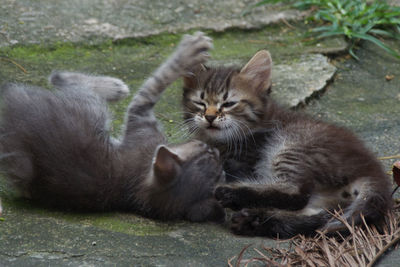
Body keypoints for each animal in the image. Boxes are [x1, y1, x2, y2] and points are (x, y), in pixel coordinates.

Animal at [0, 32, 225, 223]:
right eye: (203, 147)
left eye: (211, 154)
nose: (216, 150)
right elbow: (160, 79)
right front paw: (191, 52)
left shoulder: (139, 118)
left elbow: (157, 81)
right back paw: (114, 87)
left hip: (86, 112)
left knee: (61, 81)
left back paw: (110, 87)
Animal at [183, 50, 392, 239]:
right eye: (200, 103)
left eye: (228, 103)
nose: (209, 117)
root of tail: (371, 167)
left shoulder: (246, 160)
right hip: (326, 198)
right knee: (315, 215)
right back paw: (253, 221)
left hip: (291, 147)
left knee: (296, 193)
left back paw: (231, 195)